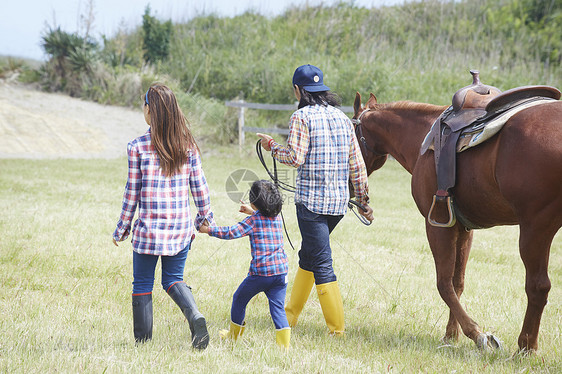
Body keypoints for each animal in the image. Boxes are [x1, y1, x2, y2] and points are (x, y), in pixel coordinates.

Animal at [352, 90, 556, 350]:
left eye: (350, 131)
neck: (424, 139)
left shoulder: (437, 225)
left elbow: (443, 283)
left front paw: (477, 334)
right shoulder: (463, 227)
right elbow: (457, 282)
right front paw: (451, 335)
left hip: (535, 229)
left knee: (538, 286)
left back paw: (526, 348)